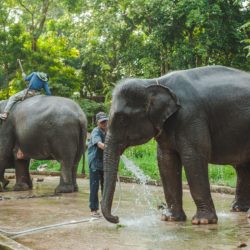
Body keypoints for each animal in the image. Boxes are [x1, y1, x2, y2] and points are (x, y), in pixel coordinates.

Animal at [100, 65, 250, 225]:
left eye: (122, 119)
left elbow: (193, 158)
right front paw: (169, 218)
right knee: (242, 167)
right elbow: (166, 161)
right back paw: (238, 209)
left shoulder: (191, 116)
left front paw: (202, 221)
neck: (154, 82)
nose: (117, 218)